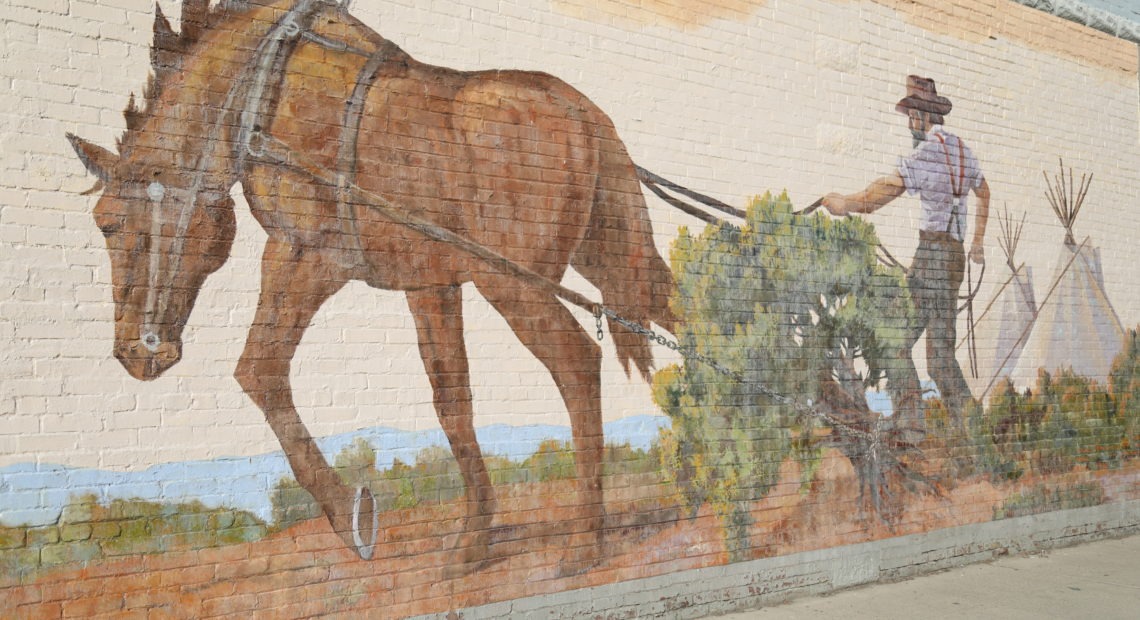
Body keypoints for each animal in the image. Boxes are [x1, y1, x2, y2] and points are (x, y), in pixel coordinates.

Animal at [66, 0, 670, 572]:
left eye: (108, 223)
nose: (134, 353)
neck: (258, 93)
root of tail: (588, 114)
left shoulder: (309, 256)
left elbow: (259, 371)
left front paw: (350, 515)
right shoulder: (428, 284)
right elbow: (452, 401)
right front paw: (475, 539)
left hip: (515, 284)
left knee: (577, 364)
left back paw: (587, 540)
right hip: (614, 264)